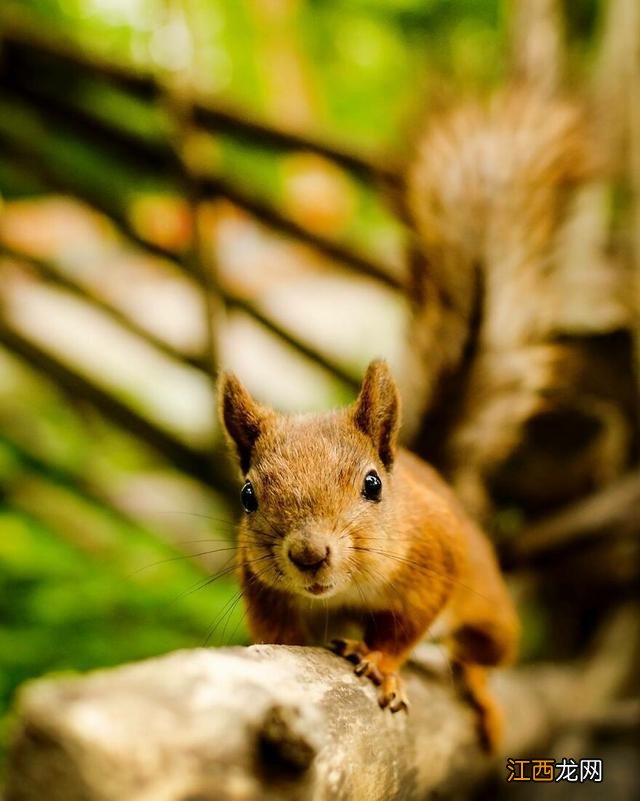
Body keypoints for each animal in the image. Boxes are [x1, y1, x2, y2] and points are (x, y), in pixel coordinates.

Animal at [218, 360, 516, 752]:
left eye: (373, 484)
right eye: (247, 495)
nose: (309, 554)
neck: (345, 592)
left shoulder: (436, 556)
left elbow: (406, 627)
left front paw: (379, 662)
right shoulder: (262, 587)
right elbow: (278, 634)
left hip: (492, 628)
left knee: (474, 656)